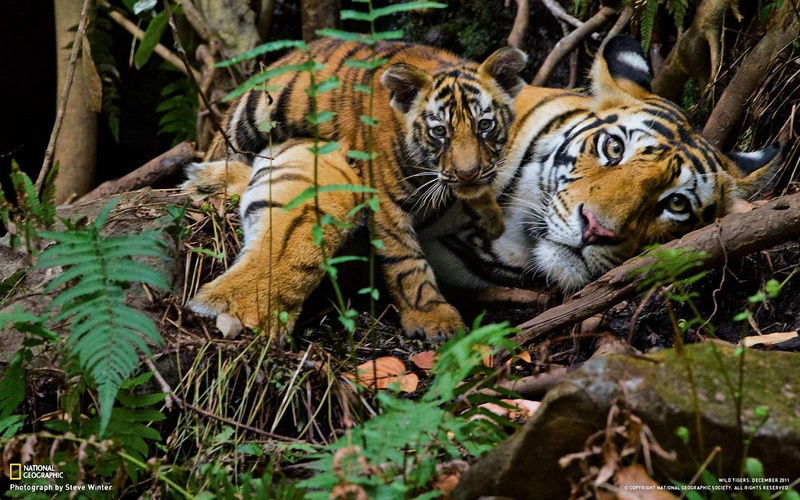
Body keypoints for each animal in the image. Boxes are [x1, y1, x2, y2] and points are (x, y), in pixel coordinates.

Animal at [184, 39, 528, 339]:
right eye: (439, 131)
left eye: (484, 125)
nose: (467, 173)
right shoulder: (386, 201)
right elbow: (406, 262)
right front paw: (433, 318)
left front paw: (490, 217)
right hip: (248, 120)